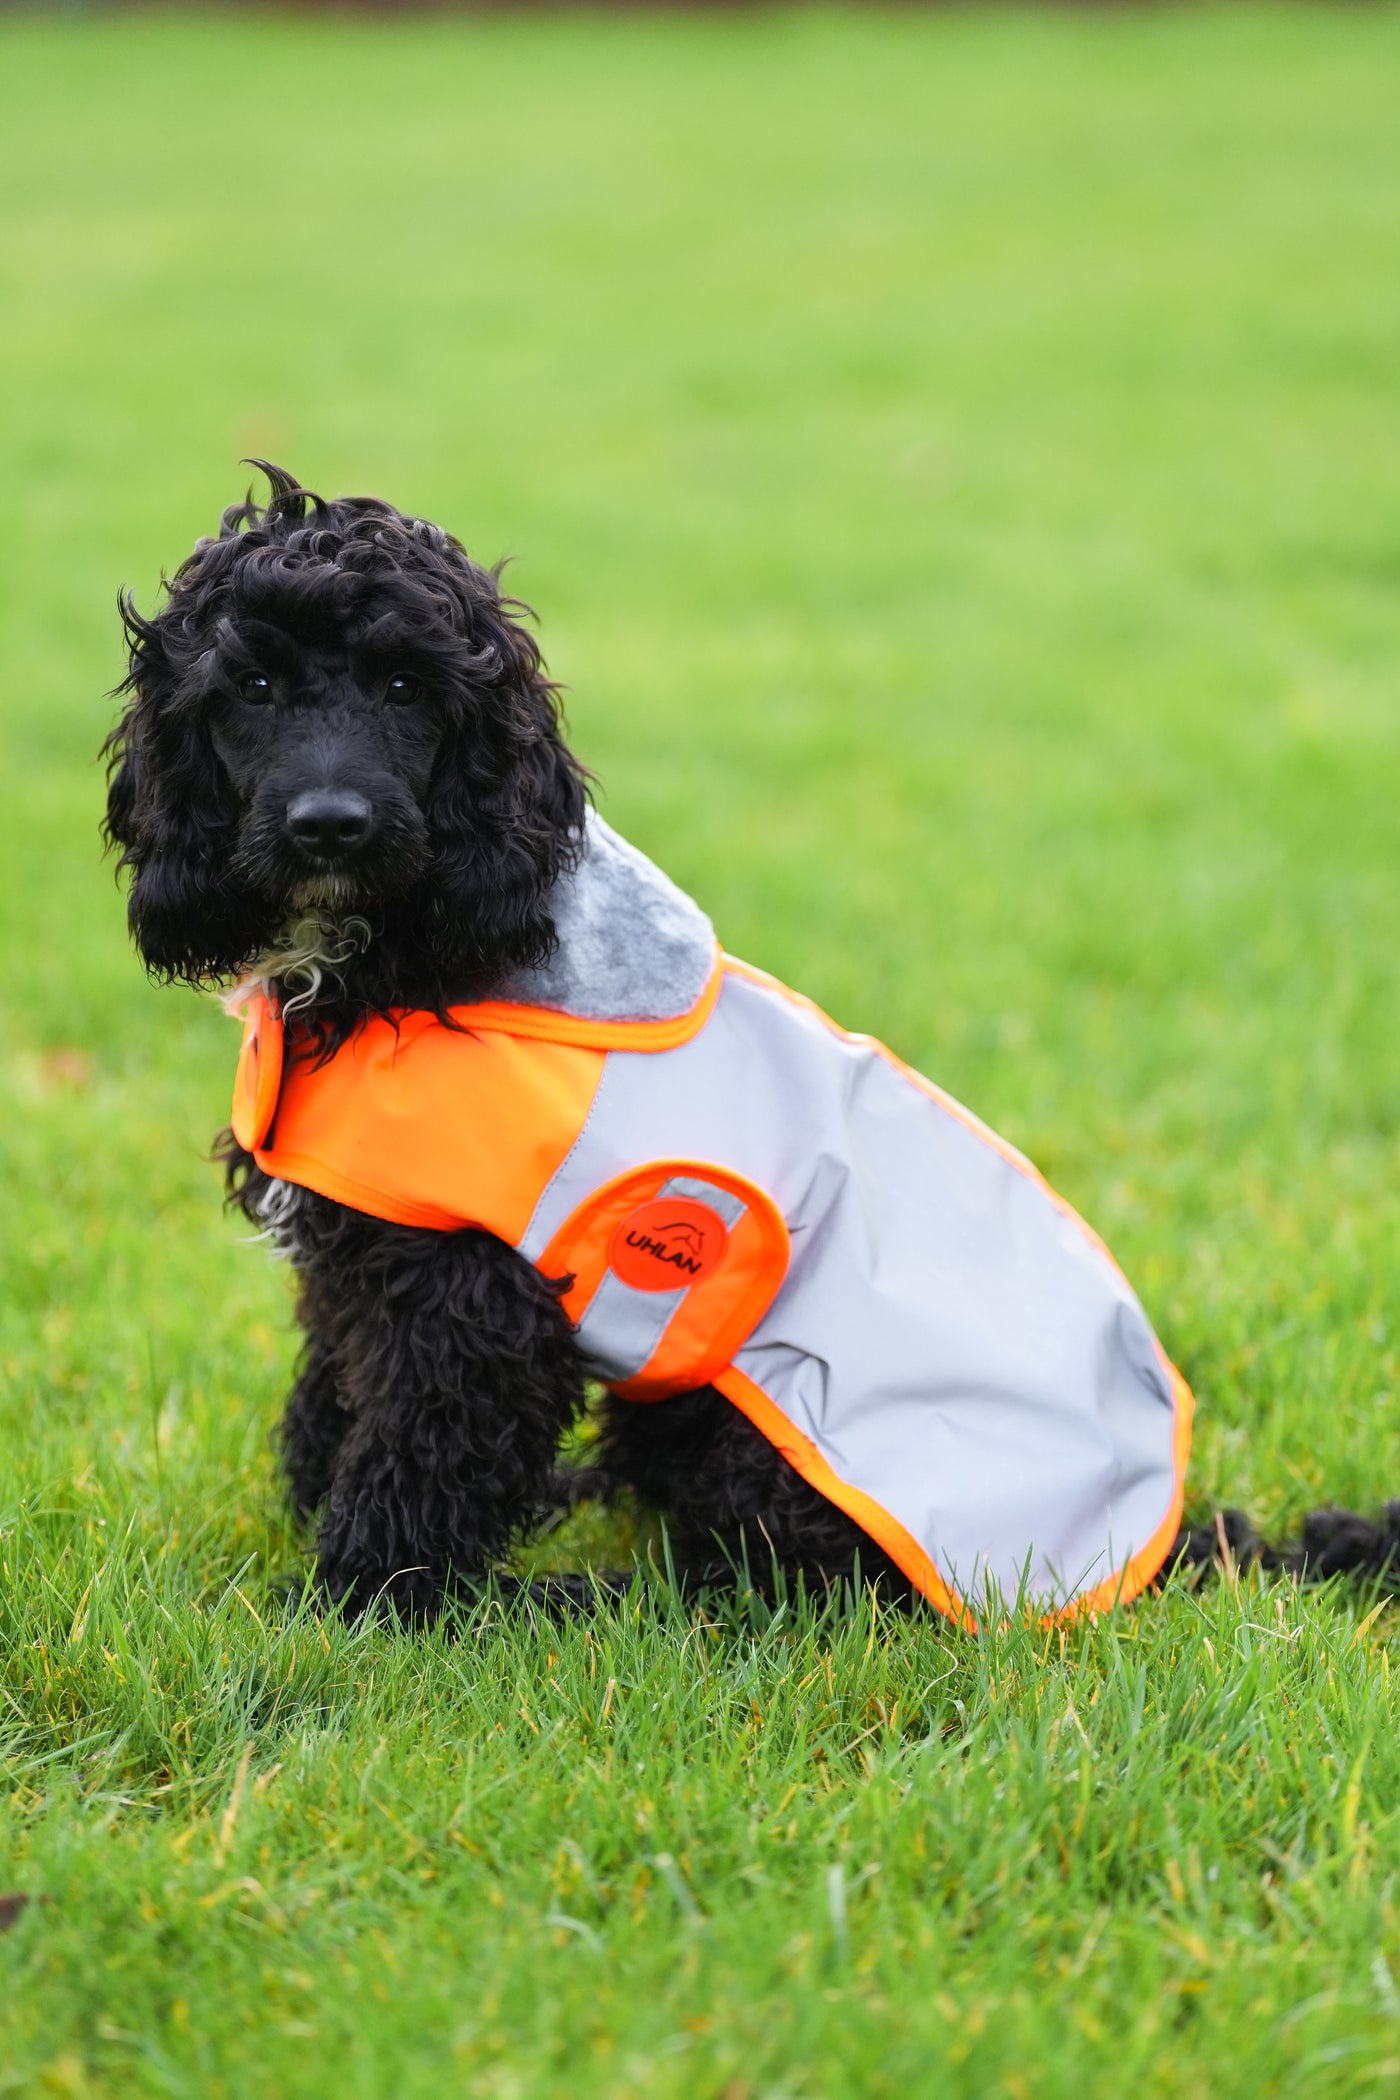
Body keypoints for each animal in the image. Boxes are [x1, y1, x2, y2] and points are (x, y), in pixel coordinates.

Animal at [103, 472, 1400, 1621]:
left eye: (405, 682)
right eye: (252, 684)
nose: (331, 825)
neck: (408, 958)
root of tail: (1159, 1544)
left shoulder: (472, 1304)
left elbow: (411, 1472)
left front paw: (356, 1608)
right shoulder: (361, 1247)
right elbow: (329, 1405)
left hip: (757, 1420)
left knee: (774, 1589)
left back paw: (572, 1598)